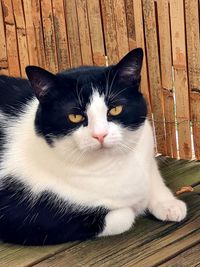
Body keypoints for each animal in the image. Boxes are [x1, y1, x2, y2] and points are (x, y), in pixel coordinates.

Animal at [0, 48, 187, 247]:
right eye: (74, 116)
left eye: (115, 109)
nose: (100, 135)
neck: (112, 165)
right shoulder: (29, 217)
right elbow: (124, 215)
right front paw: (137, 206)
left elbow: (153, 176)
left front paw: (168, 204)